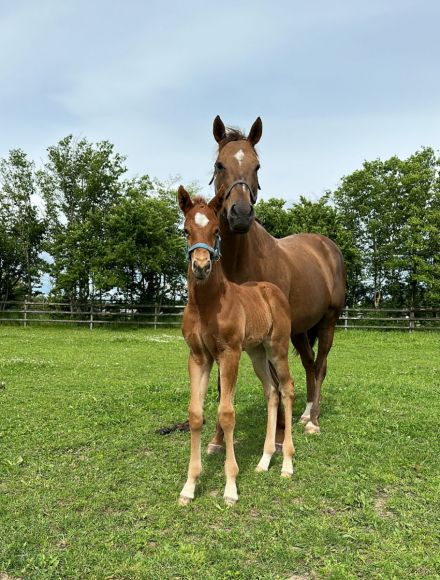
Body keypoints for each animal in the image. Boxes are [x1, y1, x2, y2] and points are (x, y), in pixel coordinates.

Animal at [176, 187, 296, 508]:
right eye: (186, 230)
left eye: (216, 231)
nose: (201, 266)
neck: (208, 305)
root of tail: (273, 291)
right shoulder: (198, 357)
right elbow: (196, 414)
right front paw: (189, 486)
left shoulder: (228, 354)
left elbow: (226, 414)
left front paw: (230, 487)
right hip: (256, 353)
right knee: (272, 392)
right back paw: (264, 460)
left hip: (277, 348)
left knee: (287, 389)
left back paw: (287, 463)